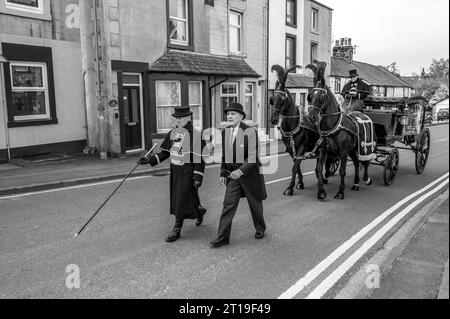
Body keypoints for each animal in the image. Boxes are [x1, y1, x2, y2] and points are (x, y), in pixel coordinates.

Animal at [270, 63, 338, 196]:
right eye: (272, 99)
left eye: (282, 99)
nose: (273, 119)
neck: (293, 125)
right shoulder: (291, 149)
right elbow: (297, 167)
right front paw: (300, 183)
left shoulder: (301, 148)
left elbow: (295, 167)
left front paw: (290, 188)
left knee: (324, 162)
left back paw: (324, 178)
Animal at [306, 61, 372, 201]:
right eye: (310, 96)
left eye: (321, 96)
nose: (311, 117)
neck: (332, 127)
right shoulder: (324, 150)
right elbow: (319, 169)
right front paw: (321, 192)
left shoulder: (343, 152)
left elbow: (342, 171)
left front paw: (340, 192)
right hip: (353, 149)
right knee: (357, 162)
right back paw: (356, 183)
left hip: (363, 147)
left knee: (365, 161)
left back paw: (366, 179)